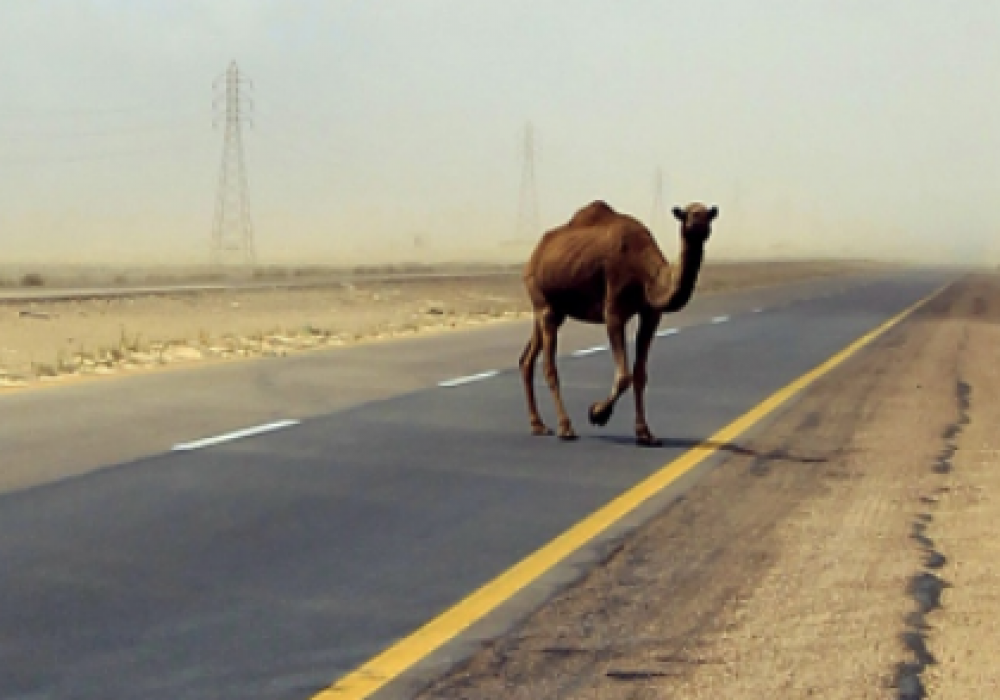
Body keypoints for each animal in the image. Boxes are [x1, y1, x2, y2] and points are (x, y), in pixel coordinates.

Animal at [519, 199, 718, 445]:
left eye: (708, 215)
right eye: (688, 215)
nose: (699, 225)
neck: (648, 274)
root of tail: (535, 254)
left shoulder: (651, 313)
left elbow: (640, 374)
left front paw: (645, 433)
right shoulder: (613, 310)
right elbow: (624, 375)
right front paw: (597, 413)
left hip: (555, 308)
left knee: (527, 358)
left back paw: (538, 425)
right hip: (541, 296)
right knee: (549, 366)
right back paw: (565, 428)